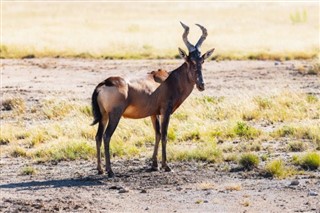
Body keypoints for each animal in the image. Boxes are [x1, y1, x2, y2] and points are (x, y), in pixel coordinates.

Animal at [91, 22, 214, 177]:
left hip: (104, 116)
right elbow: (165, 135)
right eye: (189, 60)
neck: (169, 79)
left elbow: (157, 134)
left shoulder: (154, 113)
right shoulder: (165, 111)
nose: (201, 85)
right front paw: (166, 166)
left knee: (98, 136)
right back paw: (110, 171)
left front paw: (155, 165)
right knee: (107, 136)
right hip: (115, 115)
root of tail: (105, 83)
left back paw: (100, 169)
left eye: (202, 60)